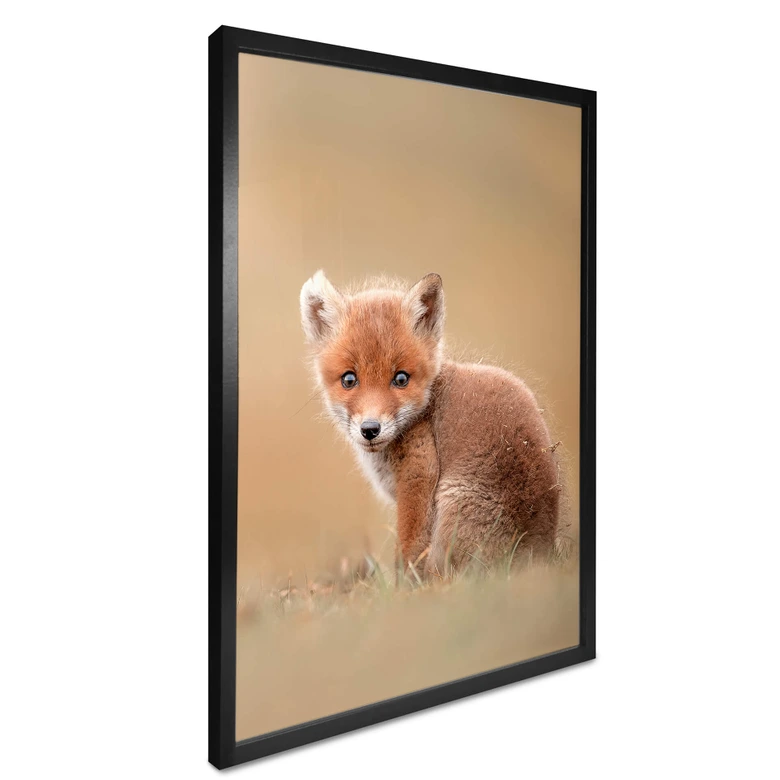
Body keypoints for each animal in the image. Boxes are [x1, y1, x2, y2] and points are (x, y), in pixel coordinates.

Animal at [300, 270, 561, 577]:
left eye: (401, 379)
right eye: (349, 379)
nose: (370, 429)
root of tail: (538, 553)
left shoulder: (419, 474)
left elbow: (409, 552)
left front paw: (403, 587)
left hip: (452, 507)